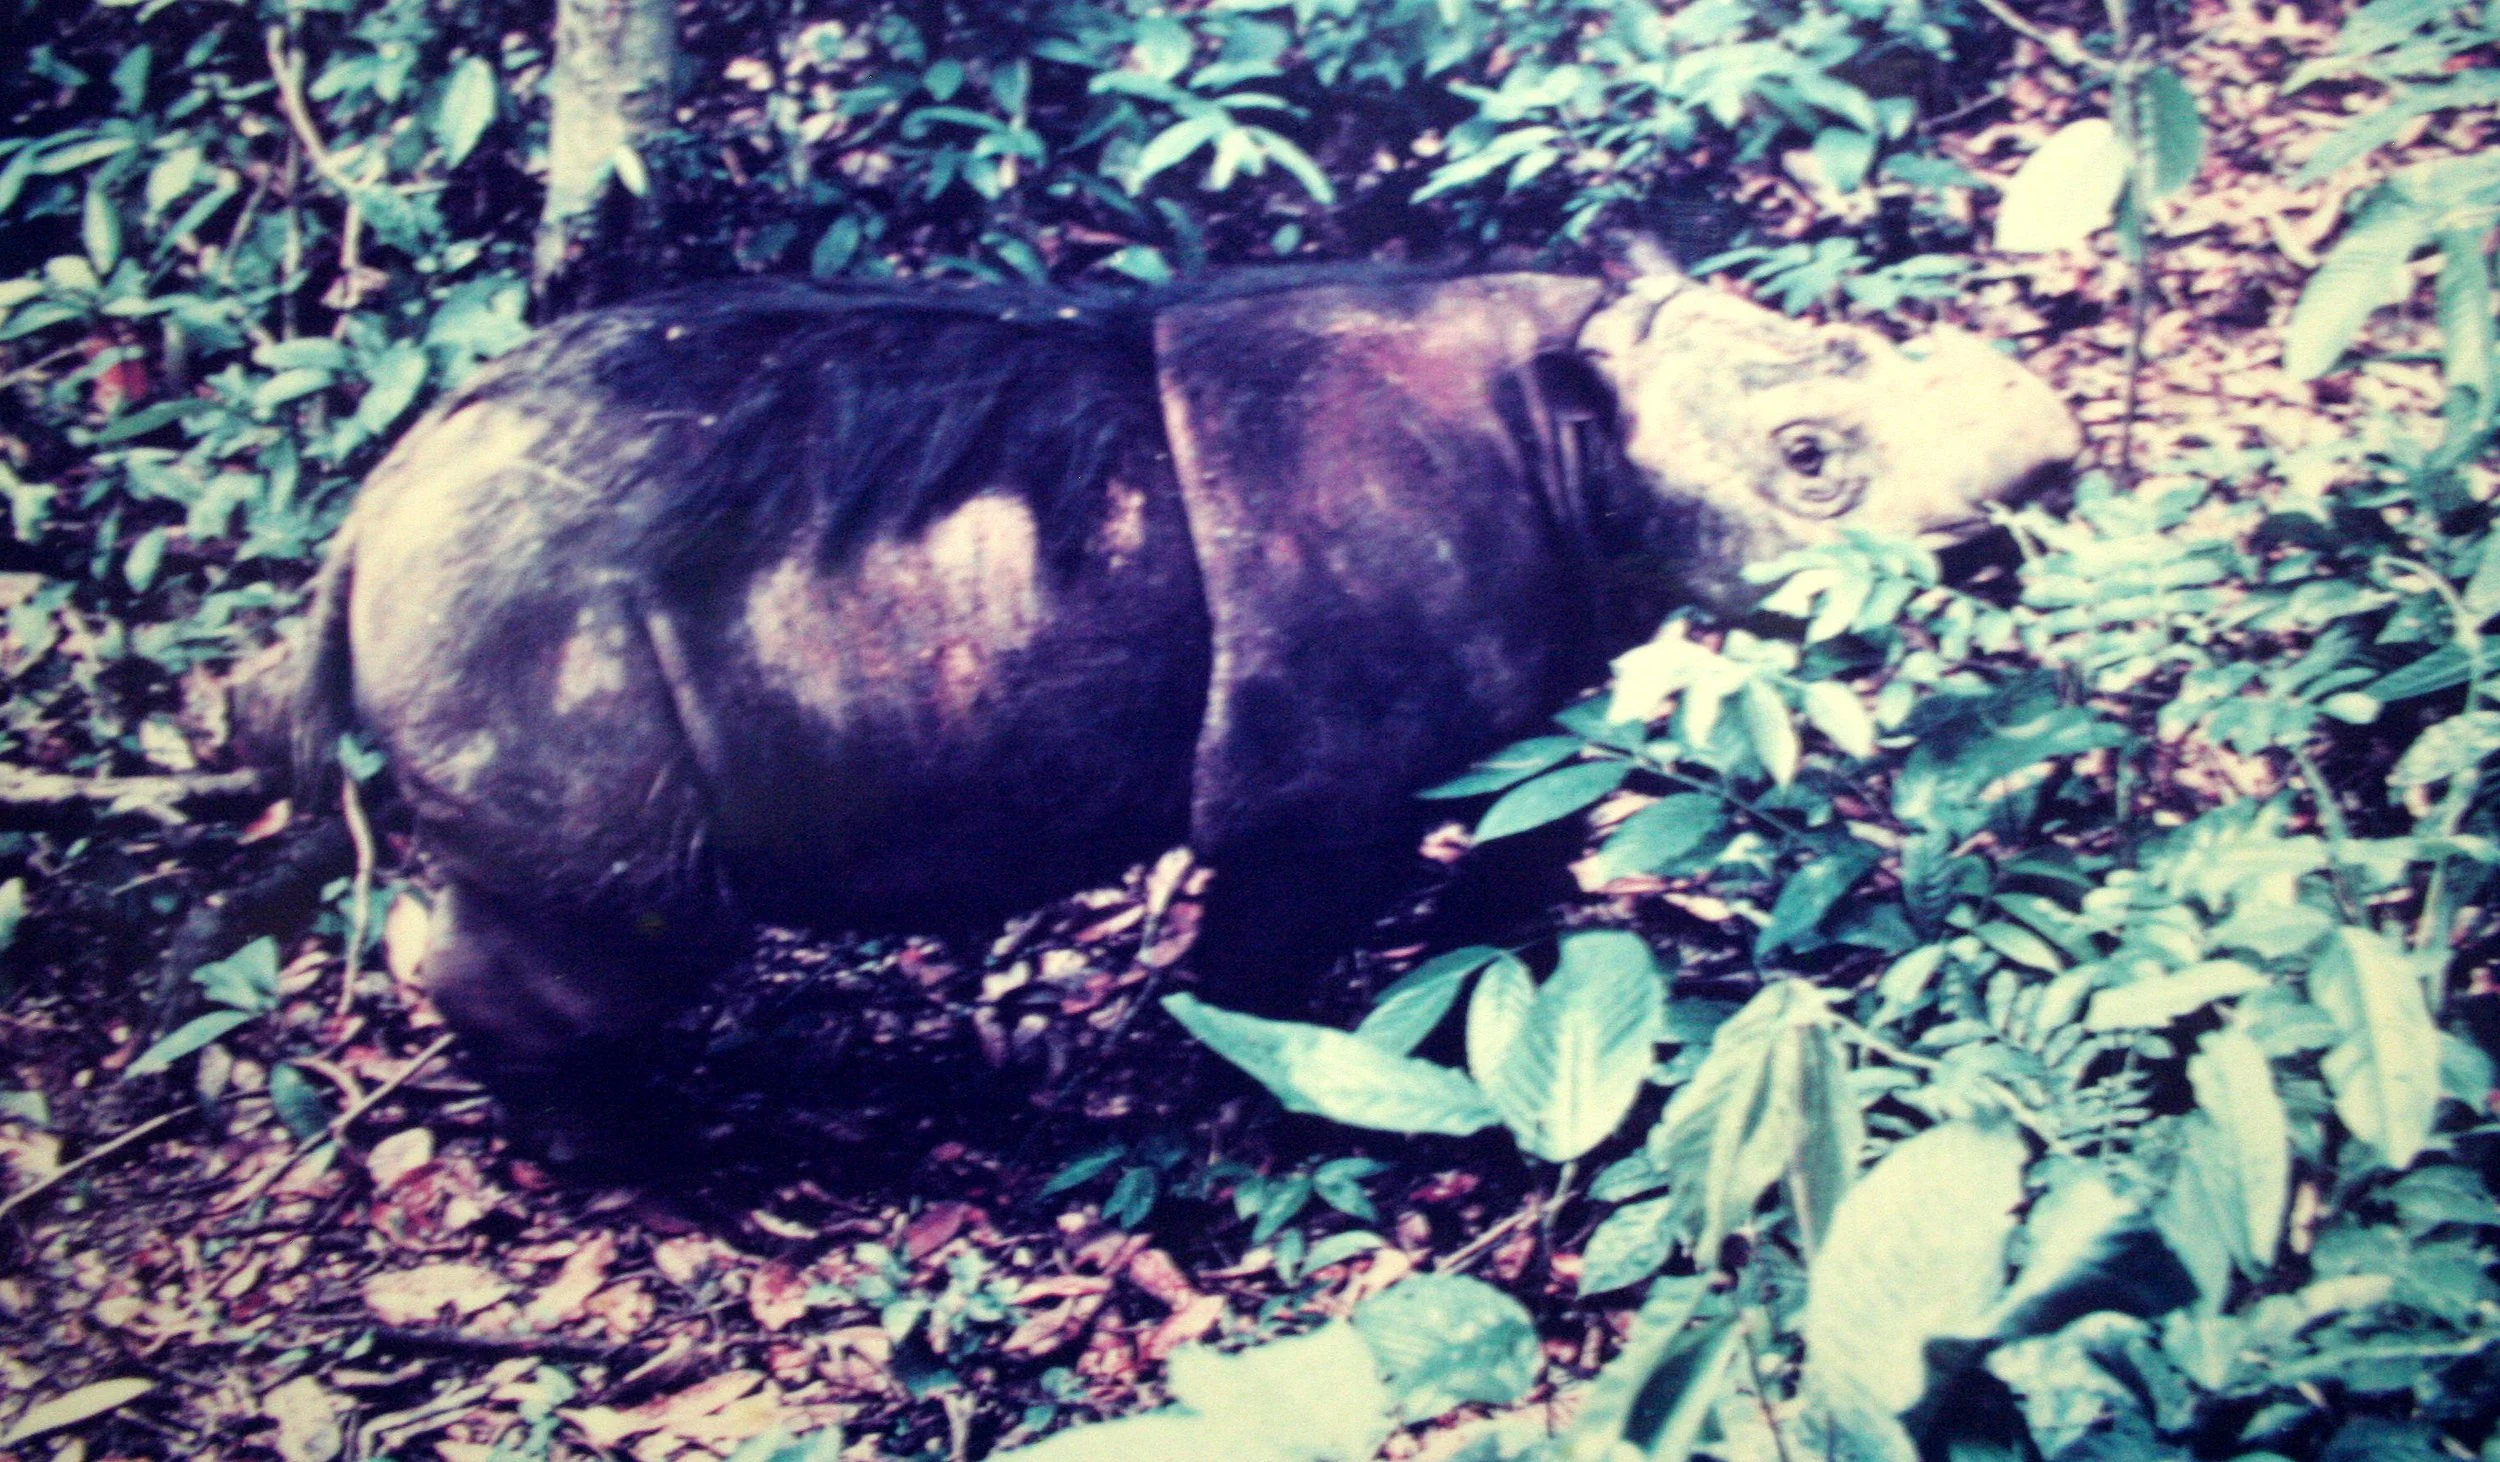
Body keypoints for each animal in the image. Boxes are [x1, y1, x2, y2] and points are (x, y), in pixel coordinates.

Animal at [279, 257, 2078, 1136]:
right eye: (1811, 461)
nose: (2053, 471)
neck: (1578, 427)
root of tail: (369, 511)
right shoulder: (1316, 784)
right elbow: (1270, 962)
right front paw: (1279, 1103)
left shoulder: (1532, 687)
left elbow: (1520, 863)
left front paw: (1511, 999)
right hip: (524, 616)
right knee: (630, 923)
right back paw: (646, 1159)